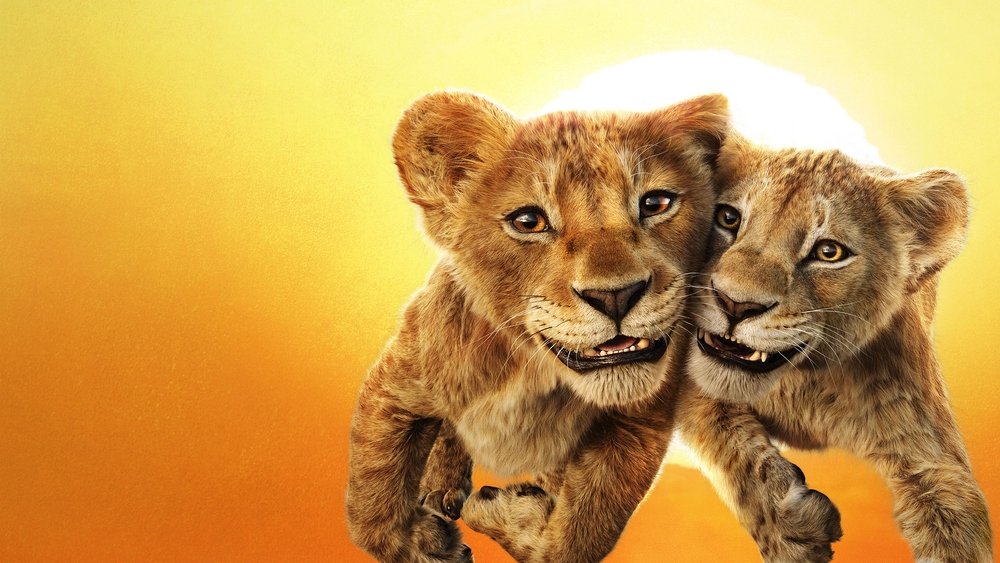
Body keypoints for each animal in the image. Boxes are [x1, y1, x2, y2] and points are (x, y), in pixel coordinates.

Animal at [345, 90, 733, 562]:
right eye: (528, 221)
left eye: (655, 204)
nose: (616, 296)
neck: (533, 371)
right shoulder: (395, 386)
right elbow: (371, 502)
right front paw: (426, 544)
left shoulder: (638, 423)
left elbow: (580, 533)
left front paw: (503, 512)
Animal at [676, 133, 993, 562]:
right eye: (728, 218)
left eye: (829, 252)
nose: (735, 304)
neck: (803, 383)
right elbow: (724, 434)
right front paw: (791, 528)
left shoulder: (931, 455)